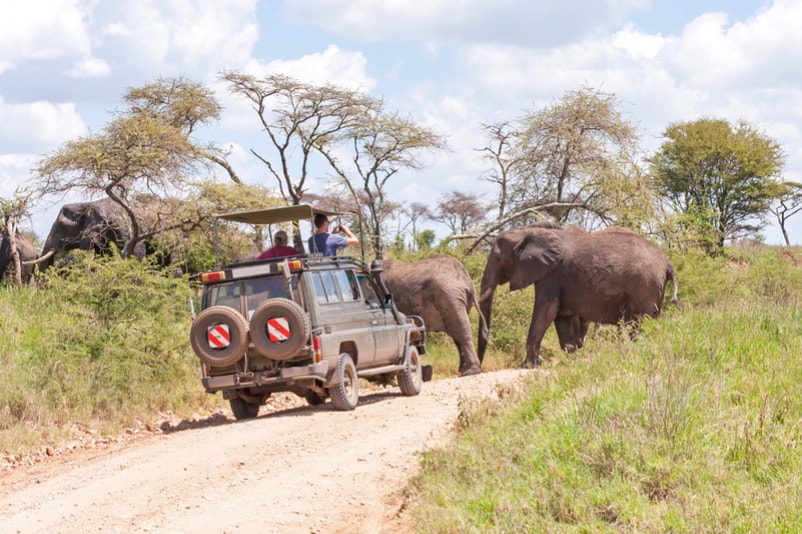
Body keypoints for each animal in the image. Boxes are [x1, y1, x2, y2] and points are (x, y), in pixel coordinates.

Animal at [478, 225, 680, 368]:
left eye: (498, 259)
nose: (478, 367)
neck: (526, 232)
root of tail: (668, 262)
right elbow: (562, 316)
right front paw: (572, 358)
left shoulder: (552, 275)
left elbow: (546, 312)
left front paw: (528, 365)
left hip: (644, 286)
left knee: (637, 324)